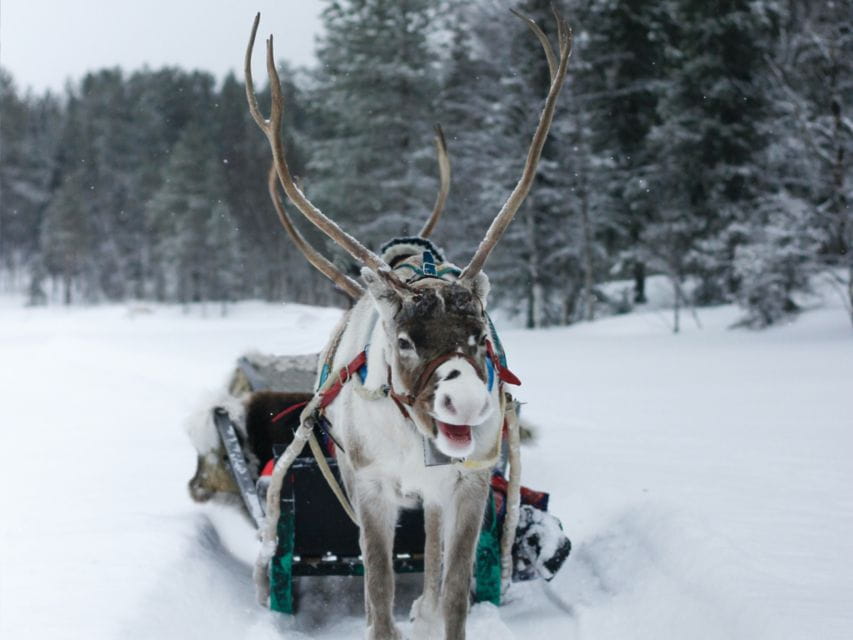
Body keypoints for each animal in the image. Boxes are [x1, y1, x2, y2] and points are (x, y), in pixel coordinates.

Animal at [244, 8, 571, 640]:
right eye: (403, 340)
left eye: (480, 337)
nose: (466, 404)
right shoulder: (370, 485)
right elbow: (377, 593)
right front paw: (391, 613)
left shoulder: (469, 484)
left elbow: (453, 592)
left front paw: (432, 611)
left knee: (436, 554)